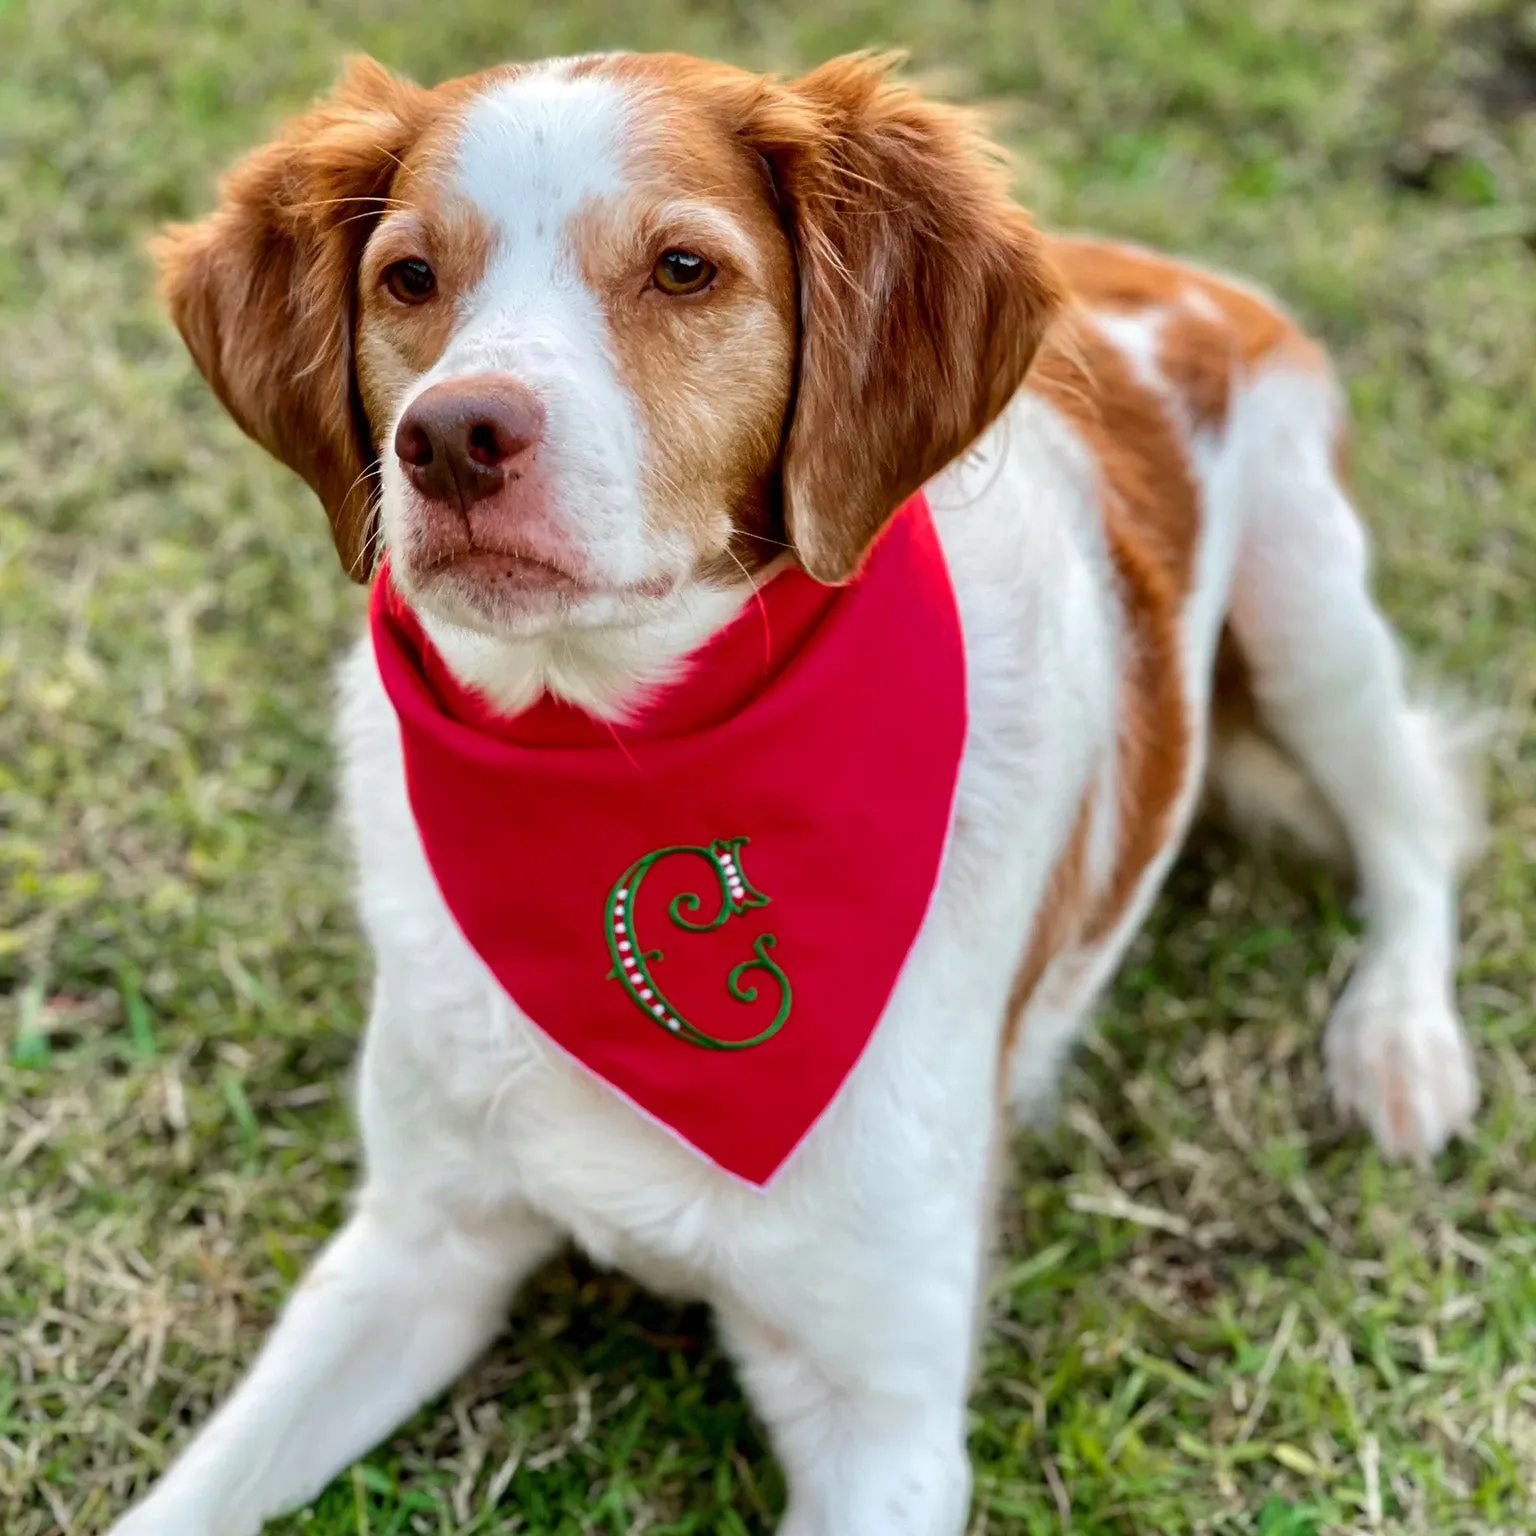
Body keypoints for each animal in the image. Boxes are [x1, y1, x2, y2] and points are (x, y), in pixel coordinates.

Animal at [113, 48, 1480, 1536]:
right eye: (409, 277)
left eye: (684, 269)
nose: (453, 437)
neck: (622, 757)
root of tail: (1172, 271)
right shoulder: (414, 1251)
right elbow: (187, 1497)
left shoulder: (881, 1418)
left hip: (1304, 605)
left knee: (1416, 817)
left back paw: (1401, 1042)